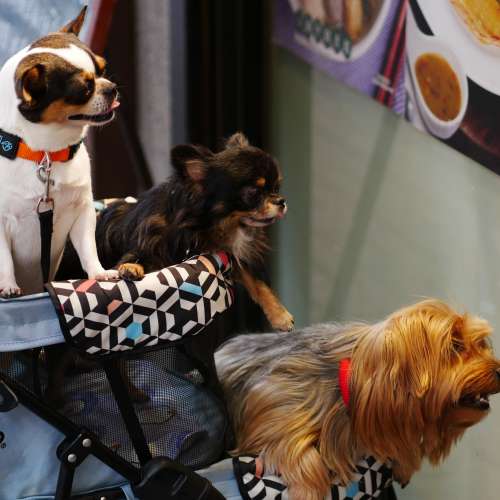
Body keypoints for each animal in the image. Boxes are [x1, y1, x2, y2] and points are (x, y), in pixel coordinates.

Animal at [0, 6, 118, 297]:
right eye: (84, 89)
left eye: (103, 69)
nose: (111, 88)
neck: (46, 154)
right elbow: (4, 259)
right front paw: (8, 285)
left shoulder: (82, 212)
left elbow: (88, 248)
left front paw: (98, 273)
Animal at [94, 132, 294, 331]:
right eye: (253, 193)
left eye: (276, 188)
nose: (281, 201)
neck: (204, 228)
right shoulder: (147, 243)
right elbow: (133, 257)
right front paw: (130, 267)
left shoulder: (231, 253)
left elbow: (257, 281)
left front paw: (280, 315)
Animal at [215, 299, 500, 500]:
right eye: (455, 346)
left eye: (481, 343)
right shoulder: (271, 408)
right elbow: (291, 449)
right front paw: (307, 491)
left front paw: (404, 463)